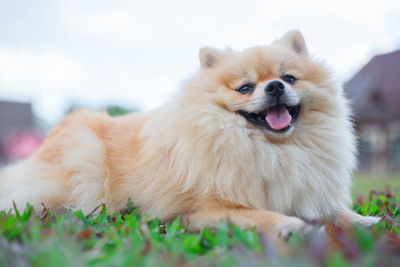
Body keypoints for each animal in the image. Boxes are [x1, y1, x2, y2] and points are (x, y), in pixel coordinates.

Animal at [0, 30, 380, 239]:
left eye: (289, 78)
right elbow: (256, 214)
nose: (274, 86)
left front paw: (367, 220)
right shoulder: (201, 210)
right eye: (245, 87)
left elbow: (335, 212)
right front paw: (290, 225)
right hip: (85, 162)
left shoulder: (304, 191)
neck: (275, 148)